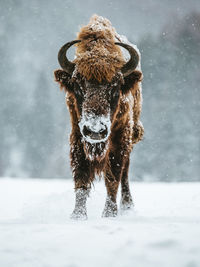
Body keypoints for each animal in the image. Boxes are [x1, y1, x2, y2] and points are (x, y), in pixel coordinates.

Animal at [54, 15, 143, 220]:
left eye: (115, 86)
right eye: (78, 85)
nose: (95, 130)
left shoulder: (120, 138)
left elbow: (113, 177)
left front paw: (109, 214)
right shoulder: (78, 136)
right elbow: (81, 176)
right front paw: (77, 215)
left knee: (125, 172)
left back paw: (128, 206)